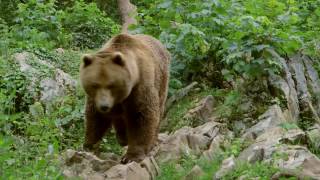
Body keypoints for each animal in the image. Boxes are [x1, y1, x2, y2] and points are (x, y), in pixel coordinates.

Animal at [79, 33, 170, 163]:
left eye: (111, 85)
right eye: (95, 85)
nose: (104, 106)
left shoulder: (140, 86)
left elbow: (141, 115)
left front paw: (132, 156)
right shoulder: (95, 98)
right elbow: (95, 117)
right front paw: (88, 146)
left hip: (162, 78)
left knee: (159, 109)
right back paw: (123, 137)